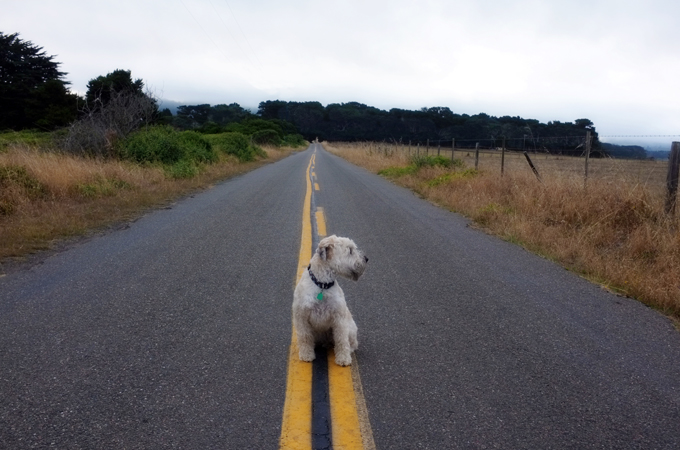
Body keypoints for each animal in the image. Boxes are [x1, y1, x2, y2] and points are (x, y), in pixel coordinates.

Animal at [290, 236, 366, 366]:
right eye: (350, 250)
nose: (366, 259)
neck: (322, 285)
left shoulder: (339, 318)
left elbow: (341, 339)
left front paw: (343, 359)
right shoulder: (301, 317)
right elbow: (305, 337)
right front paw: (306, 355)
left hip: (351, 328)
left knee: (352, 343)